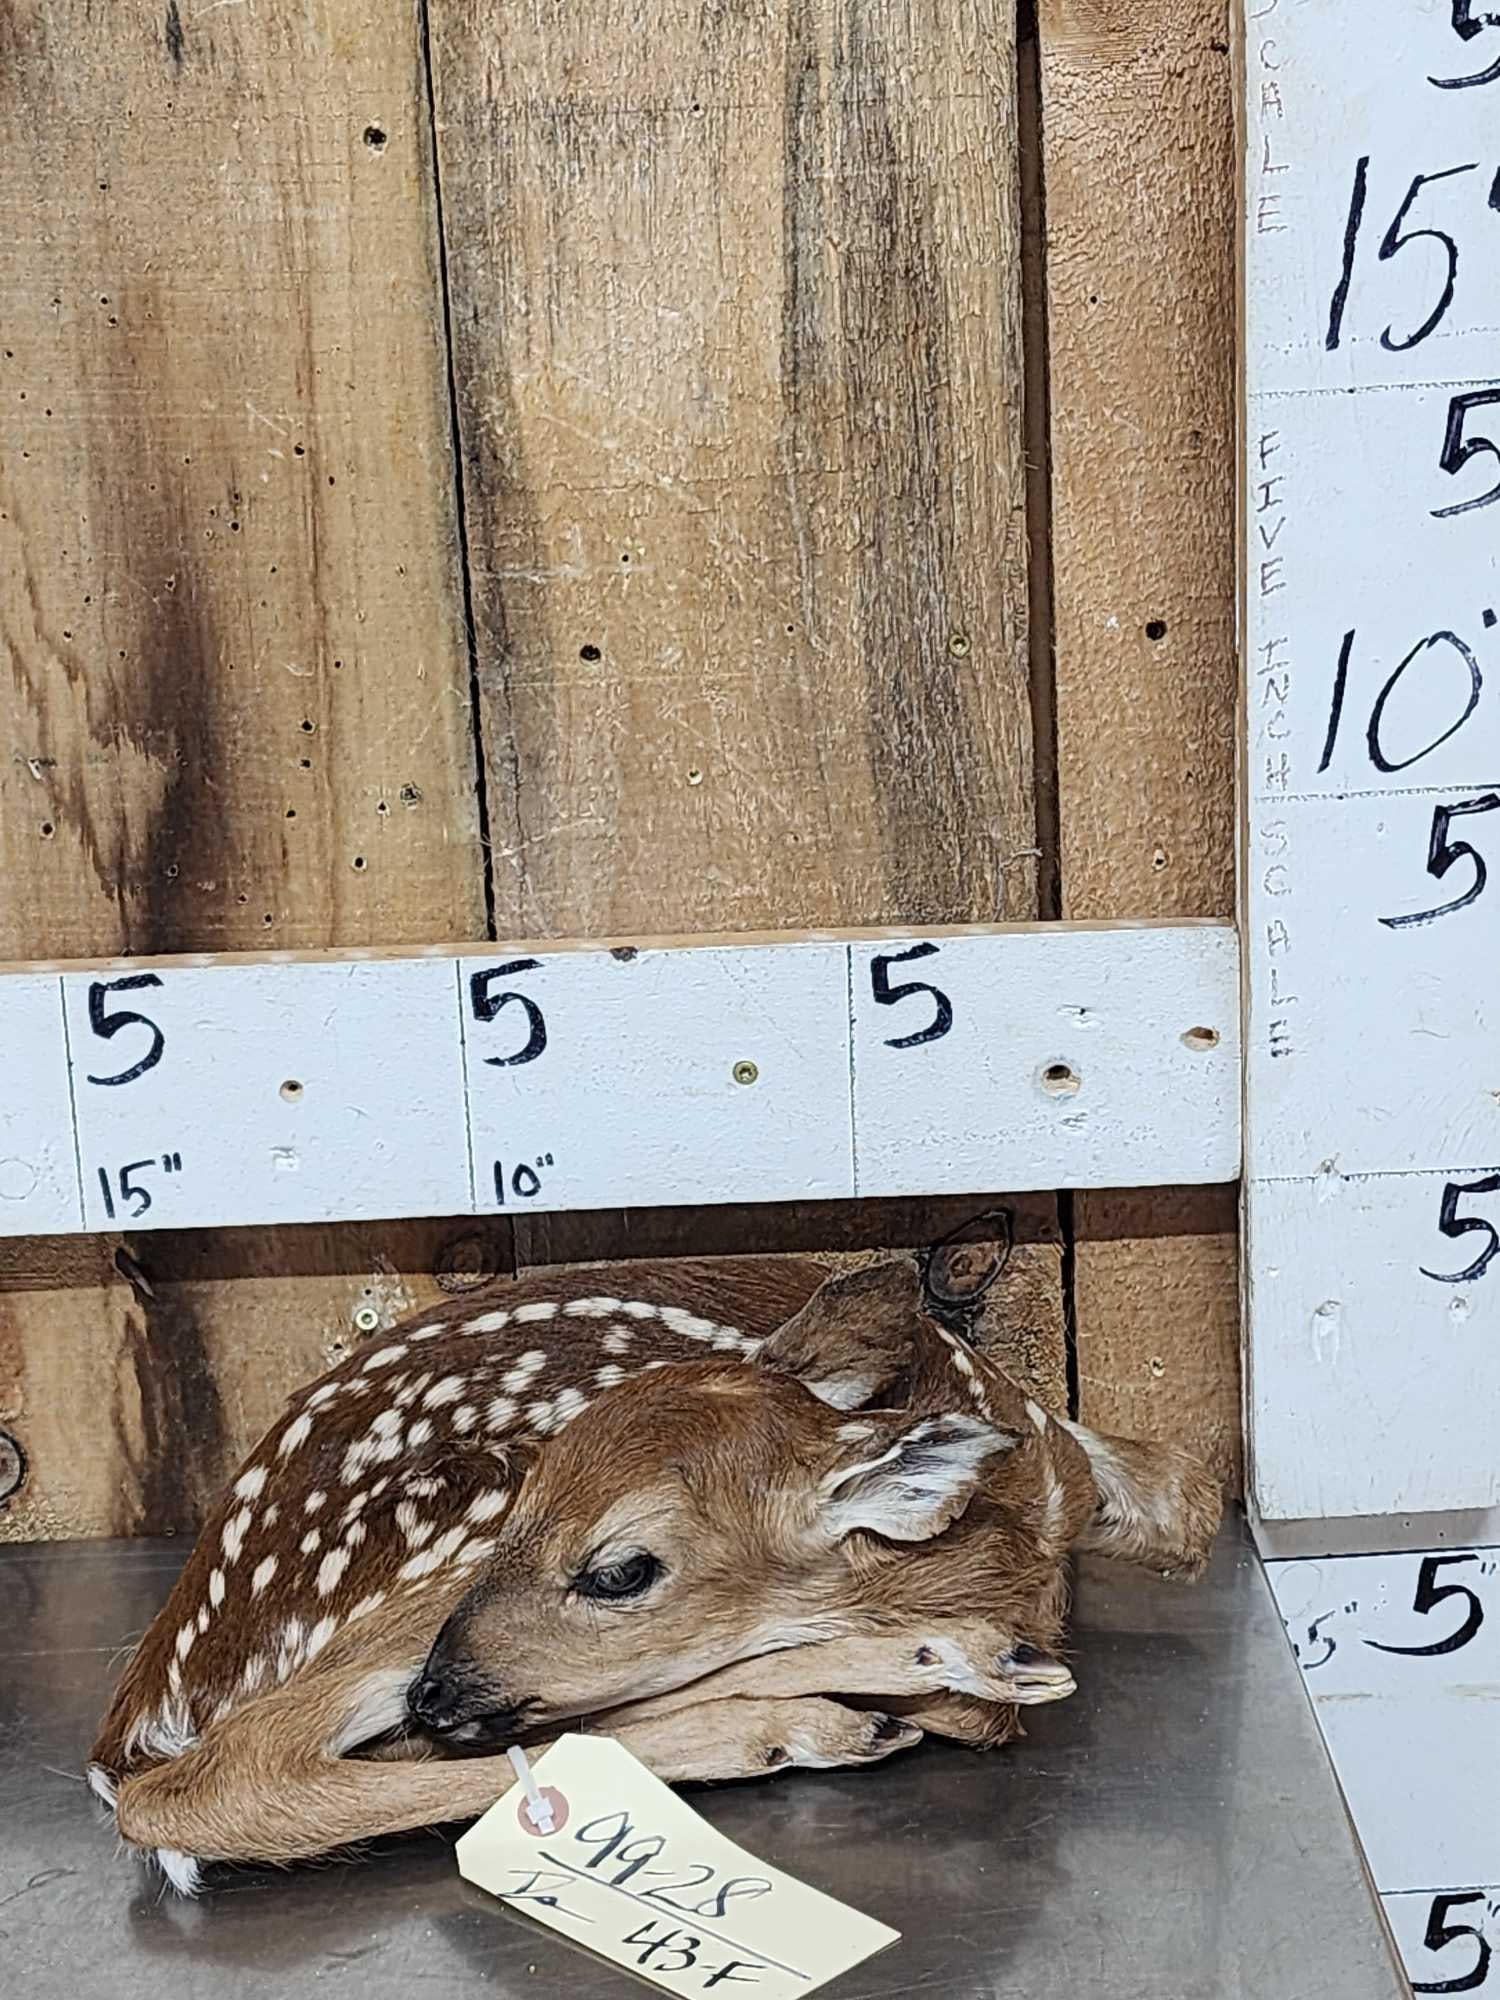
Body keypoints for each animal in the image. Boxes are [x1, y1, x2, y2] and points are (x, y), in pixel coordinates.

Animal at [89, 1252, 1222, 1895]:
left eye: (621, 1570)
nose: (437, 1688)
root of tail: (159, 1687)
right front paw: (939, 1672)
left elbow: (1190, 1497)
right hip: (445, 1526)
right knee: (218, 1777)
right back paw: (840, 1711)